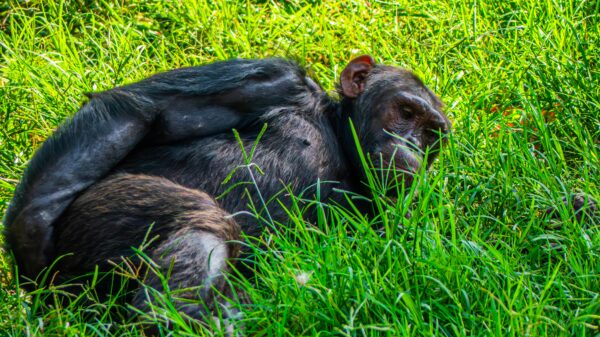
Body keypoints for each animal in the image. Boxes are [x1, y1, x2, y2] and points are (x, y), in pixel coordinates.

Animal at [1, 57, 450, 320]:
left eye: (432, 135)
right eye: (405, 111)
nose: (412, 145)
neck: (337, 134)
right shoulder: (274, 79)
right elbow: (142, 108)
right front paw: (30, 241)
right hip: (94, 218)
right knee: (200, 218)